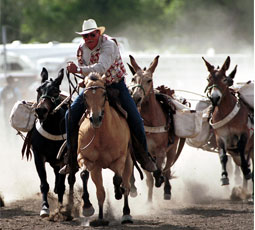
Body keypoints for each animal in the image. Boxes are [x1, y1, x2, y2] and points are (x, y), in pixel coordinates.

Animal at [23, 68, 77, 217]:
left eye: (55, 91)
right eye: (38, 89)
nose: (41, 110)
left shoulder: (64, 158)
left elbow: (62, 185)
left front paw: (62, 209)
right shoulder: (38, 155)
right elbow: (44, 184)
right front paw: (45, 208)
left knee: (70, 180)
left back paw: (69, 205)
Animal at [77, 72, 136, 226]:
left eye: (104, 94)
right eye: (85, 95)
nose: (96, 118)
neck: (102, 135)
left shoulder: (120, 159)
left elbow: (117, 179)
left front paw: (117, 192)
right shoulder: (87, 160)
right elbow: (86, 176)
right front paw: (88, 208)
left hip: (128, 162)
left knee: (126, 186)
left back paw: (126, 213)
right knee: (101, 192)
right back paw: (101, 217)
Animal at [128, 55, 184, 201]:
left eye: (149, 80)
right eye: (133, 78)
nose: (136, 98)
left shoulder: (161, 151)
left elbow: (160, 171)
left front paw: (161, 181)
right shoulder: (143, 153)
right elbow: (149, 179)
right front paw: (148, 201)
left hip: (172, 149)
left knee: (168, 169)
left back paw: (167, 190)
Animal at [203, 55, 253, 189]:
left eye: (224, 79)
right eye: (208, 78)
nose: (215, 98)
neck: (226, 111)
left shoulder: (244, 133)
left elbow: (241, 147)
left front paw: (246, 171)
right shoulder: (220, 136)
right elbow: (223, 156)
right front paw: (224, 177)